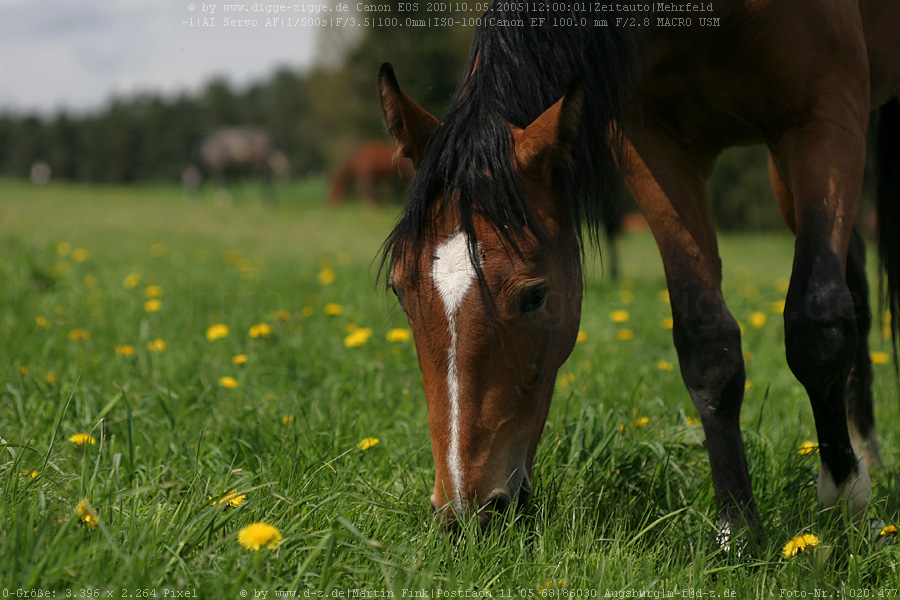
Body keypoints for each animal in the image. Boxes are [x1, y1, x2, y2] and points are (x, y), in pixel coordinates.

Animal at [380, 0, 900, 544]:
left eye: (536, 295)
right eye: (400, 291)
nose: (466, 512)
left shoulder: (824, 114)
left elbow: (817, 325)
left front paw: (846, 498)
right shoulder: (655, 149)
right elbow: (707, 344)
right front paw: (738, 530)